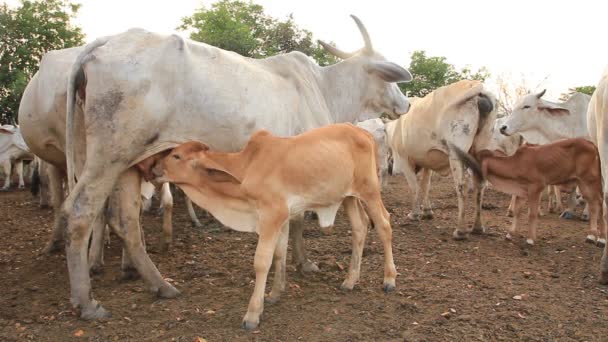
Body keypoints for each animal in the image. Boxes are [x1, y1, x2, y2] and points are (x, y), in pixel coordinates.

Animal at [16, 16, 410, 326]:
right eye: (388, 77)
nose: (406, 104)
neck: (325, 90)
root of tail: (101, 43)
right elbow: (296, 224)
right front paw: (302, 266)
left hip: (127, 164)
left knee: (125, 220)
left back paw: (161, 286)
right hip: (108, 154)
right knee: (80, 211)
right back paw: (87, 302)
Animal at [388, 80, 496, 240]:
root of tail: (478, 90)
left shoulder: (404, 158)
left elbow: (414, 186)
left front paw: (414, 214)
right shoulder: (427, 160)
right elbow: (425, 185)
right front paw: (427, 211)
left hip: (456, 152)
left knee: (462, 186)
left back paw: (460, 231)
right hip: (480, 150)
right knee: (480, 185)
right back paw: (477, 227)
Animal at [448, 138, 604, 246]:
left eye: (474, 159)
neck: (516, 164)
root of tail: (591, 143)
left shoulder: (536, 188)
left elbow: (532, 214)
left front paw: (530, 239)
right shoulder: (522, 192)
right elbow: (517, 211)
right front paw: (510, 234)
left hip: (589, 181)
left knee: (598, 204)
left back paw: (598, 238)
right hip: (584, 183)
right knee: (595, 204)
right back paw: (593, 236)